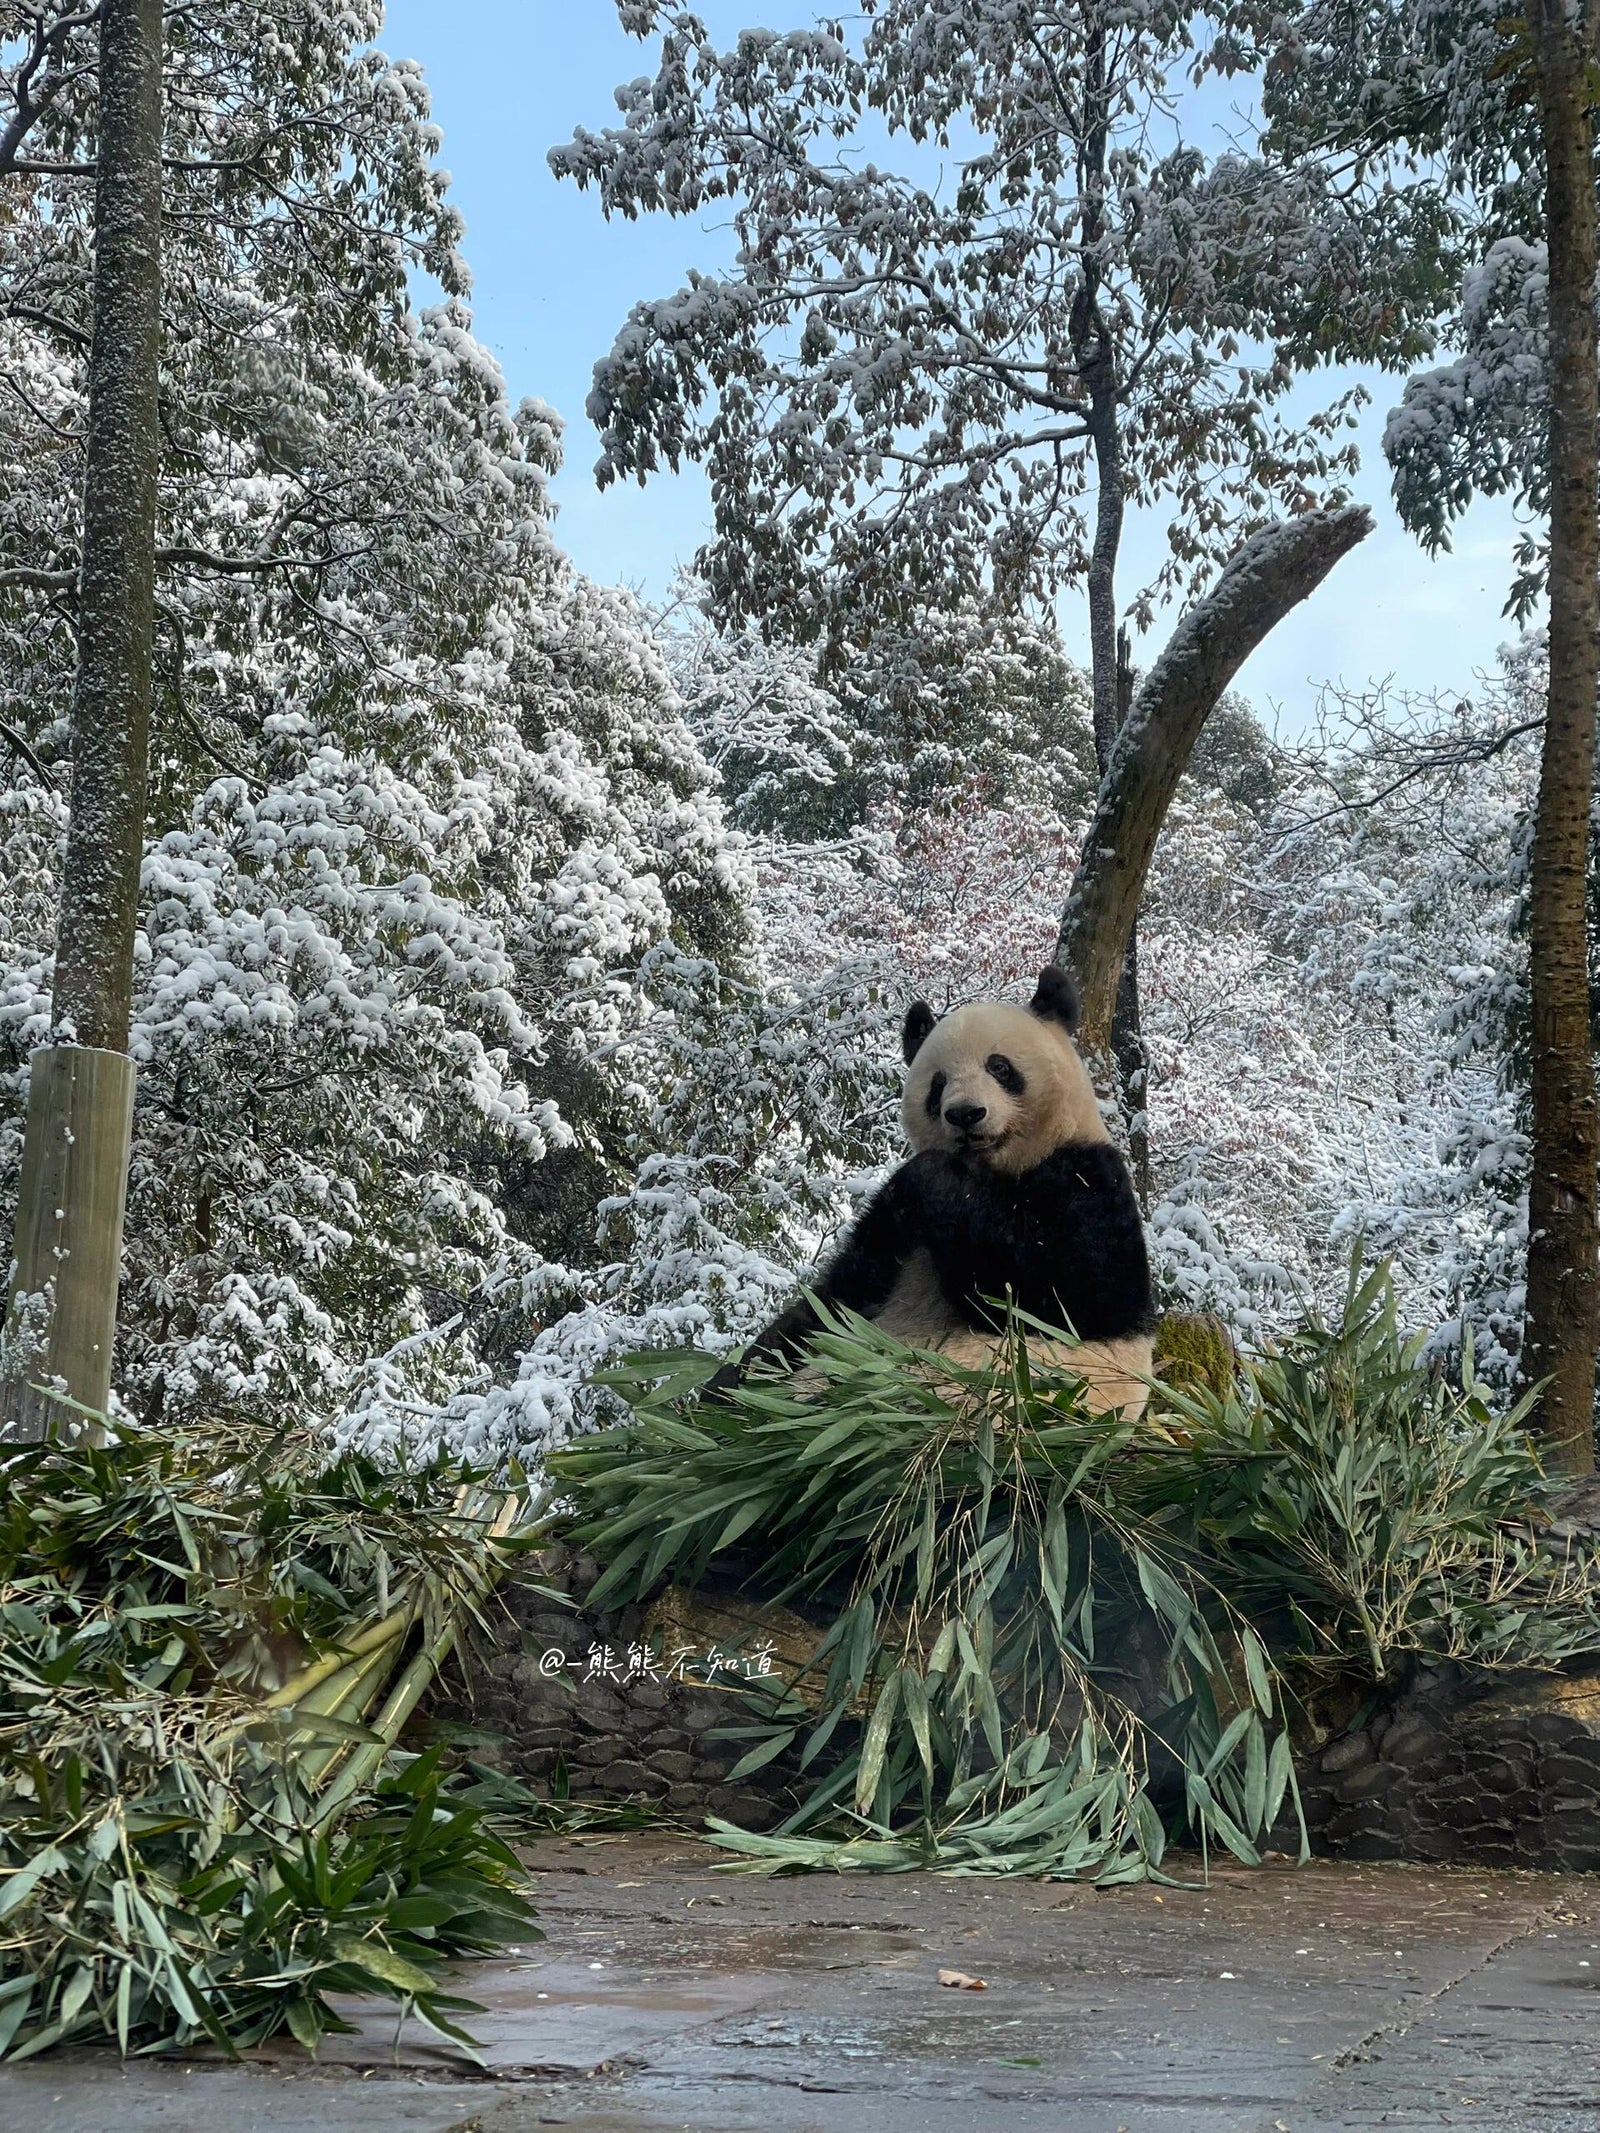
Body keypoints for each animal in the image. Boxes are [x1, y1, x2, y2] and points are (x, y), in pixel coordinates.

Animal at [710, 964, 1158, 1415]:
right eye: (938, 1083)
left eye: (999, 1067)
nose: (965, 1114)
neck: (988, 1172)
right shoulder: (892, 1238)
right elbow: (832, 1302)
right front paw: (725, 1381)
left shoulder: (1089, 1179)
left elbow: (1059, 1297)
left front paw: (929, 1173)